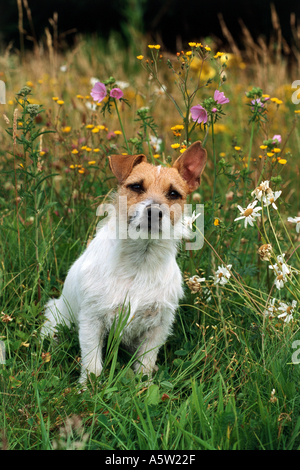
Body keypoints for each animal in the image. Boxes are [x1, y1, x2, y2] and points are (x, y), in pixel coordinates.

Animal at [40, 140, 206, 382]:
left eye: (174, 193)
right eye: (136, 187)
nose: (154, 212)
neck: (140, 262)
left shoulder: (158, 325)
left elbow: (146, 362)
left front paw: (144, 384)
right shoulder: (92, 321)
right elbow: (92, 365)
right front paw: (87, 388)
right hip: (56, 318)